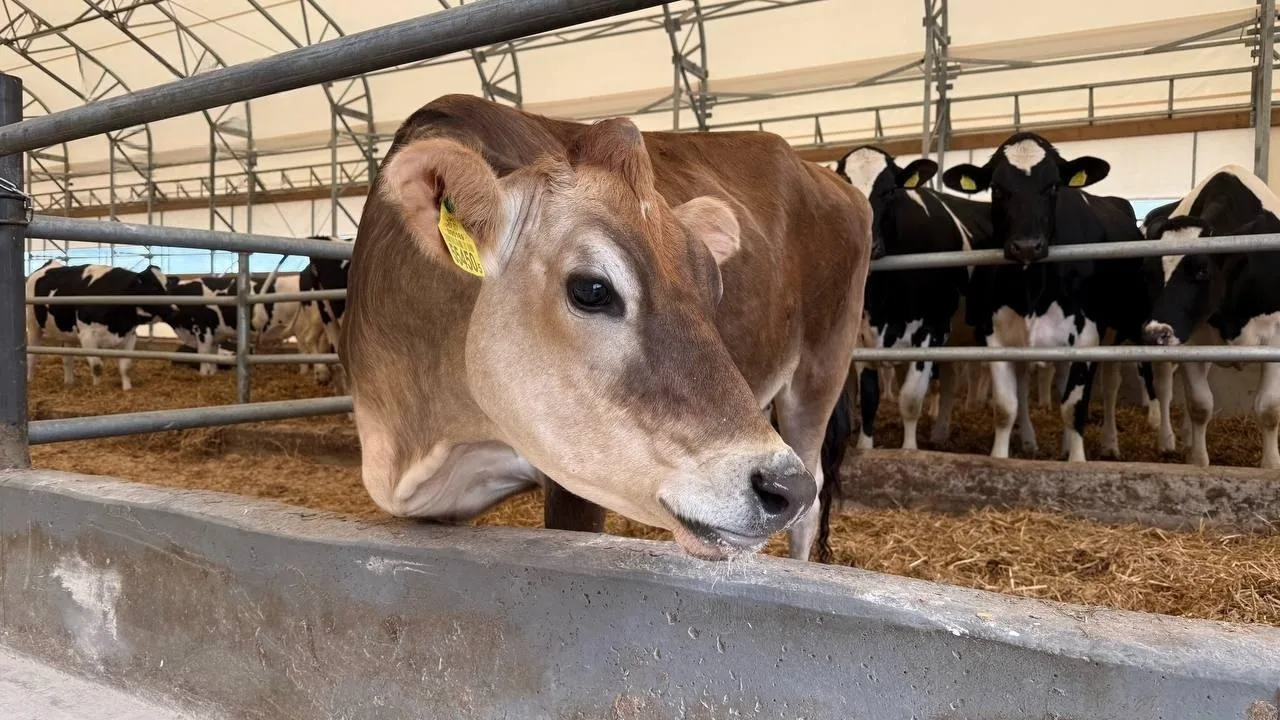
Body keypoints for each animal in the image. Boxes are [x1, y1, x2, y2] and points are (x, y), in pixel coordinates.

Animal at [26, 259, 172, 391]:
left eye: (167, 286)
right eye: (154, 287)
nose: (173, 309)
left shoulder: (129, 335)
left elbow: (126, 366)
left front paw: (127, 389)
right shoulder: (87, 336)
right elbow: (97, 367)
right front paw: (97, 388)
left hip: (66, 332)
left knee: (67, 358)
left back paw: (69, 383)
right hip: (33, 325)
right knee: (32, 355)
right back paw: (30, 380)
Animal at [942, 132, 1164, 462]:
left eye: (1053, 186)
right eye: (997, 188)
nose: (1026, 246)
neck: (1033, 291)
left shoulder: (1087, 338)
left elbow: (1074, 408)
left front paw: (1077, 460)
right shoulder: (997, 336)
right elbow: (1006, 407)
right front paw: (1001, 457)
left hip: (1129, 320)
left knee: (1118, 381)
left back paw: (1125, 438)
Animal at [1142, 164, 1280, 469]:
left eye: (1202, 269)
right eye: (1152, 269)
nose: (1155, 333)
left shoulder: (1276, 337)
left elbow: (1269, 408)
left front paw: (1270, 465)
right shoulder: (1191, 342)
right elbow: (1200, 405)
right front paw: (1199, 462)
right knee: (1165, 386)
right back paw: (1168, 440)